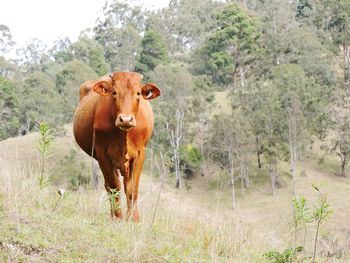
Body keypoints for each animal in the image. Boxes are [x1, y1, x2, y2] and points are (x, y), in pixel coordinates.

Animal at [74, 72, 162, 223]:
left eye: (138, 93)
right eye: (114, 92)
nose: (126, 119)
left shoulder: (140, 154)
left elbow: (132, 189)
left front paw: (134, 219)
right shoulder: (102, 154)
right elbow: (114, 186)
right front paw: (118, 217)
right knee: (109, 186)